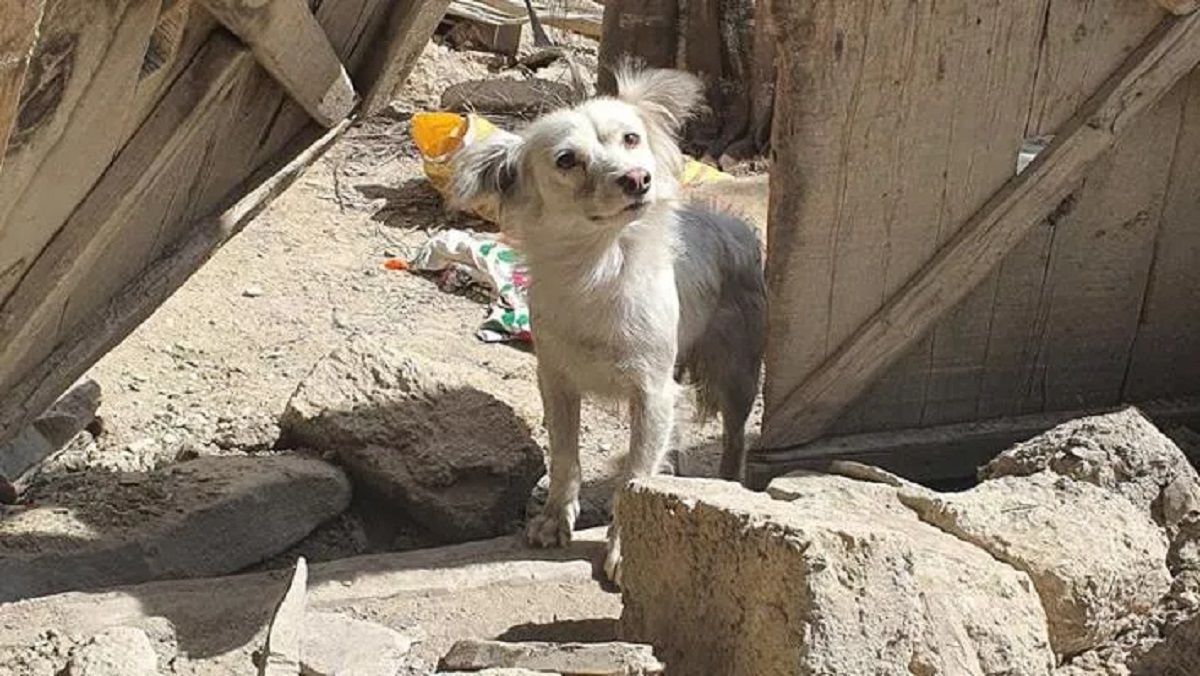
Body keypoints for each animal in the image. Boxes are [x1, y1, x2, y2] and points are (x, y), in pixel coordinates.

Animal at [451, 64, 768, 581]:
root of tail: (729, 218)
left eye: (631, 139)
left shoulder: (652, 392)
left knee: (734, 440)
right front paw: (555, 520)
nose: (638, 178)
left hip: (737, 375)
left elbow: (634, 475)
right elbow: (565, 458)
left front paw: (624, 548)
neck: (600, 266)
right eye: (567, 160)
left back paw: (724, 486)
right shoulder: (557, 383)